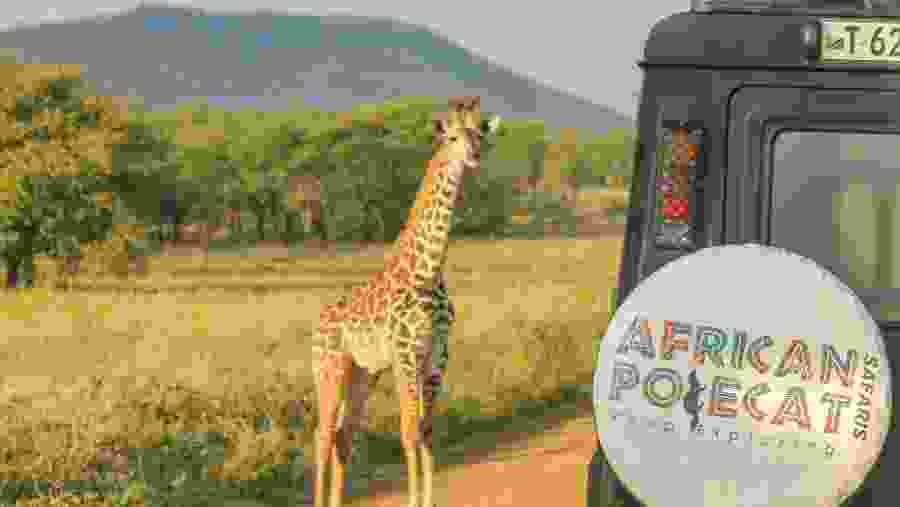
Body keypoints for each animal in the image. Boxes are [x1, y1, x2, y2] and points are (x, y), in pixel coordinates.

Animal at [311, 96, 496, 507]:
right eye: (453, 137)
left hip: (363, 373)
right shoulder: (406, 351)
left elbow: (426, 430)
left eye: (479, 134)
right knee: (322, 435)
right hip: (329, 369)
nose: (474, 156)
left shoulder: (437, 353)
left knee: (343, 436)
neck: (427, 271)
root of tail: (317, 323)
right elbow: (408, 430)